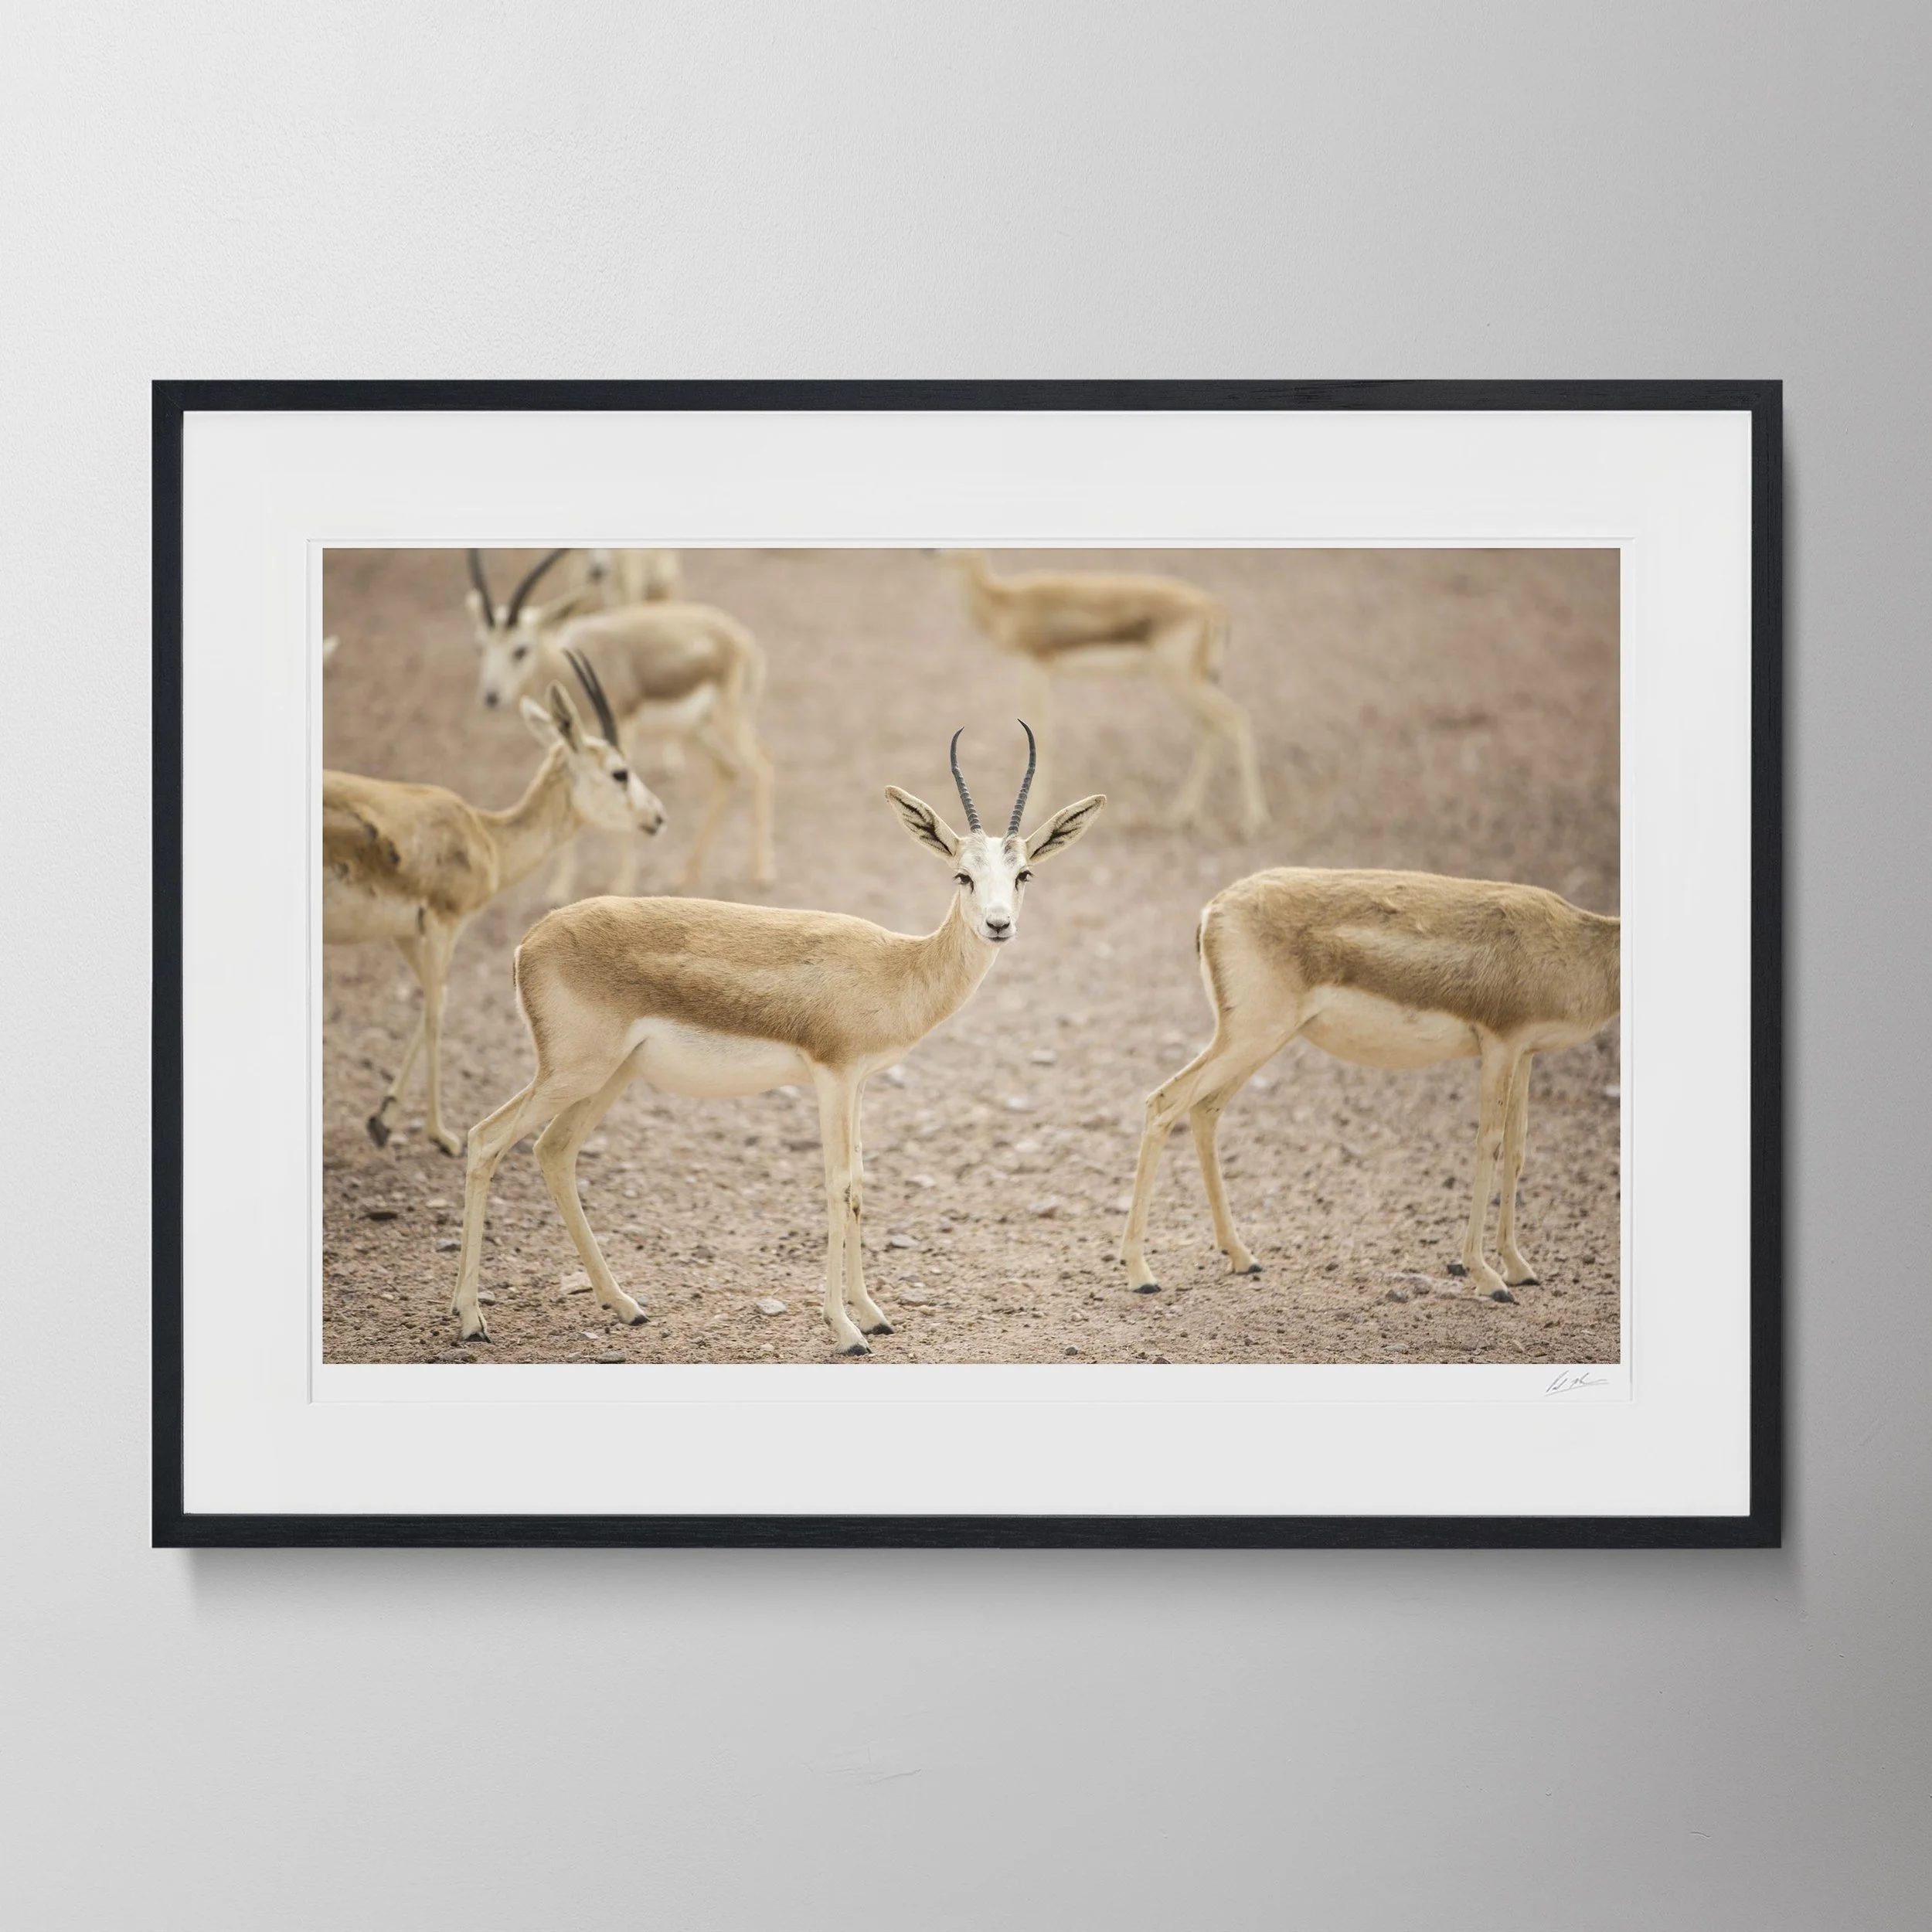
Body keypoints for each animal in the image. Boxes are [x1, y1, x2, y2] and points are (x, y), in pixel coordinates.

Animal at [324, 660, 666, 1156]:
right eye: (620, 772)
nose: (658, 817)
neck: (487, 838)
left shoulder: (408, 933)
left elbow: (435, 1001)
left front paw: (383, 1120)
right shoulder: (444, 924)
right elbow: (436, 1012)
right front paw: (440, 1135)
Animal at [449, 725, 1105, 1350]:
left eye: (1023, 873)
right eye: (962, 874)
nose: (998, 924)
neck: (894, 967)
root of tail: (531, 940)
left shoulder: (859, 1083)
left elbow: (860, 1183)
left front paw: (874, 1314)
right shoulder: (832, 1077)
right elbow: (837, 1185)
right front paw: (845, 1331)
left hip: (611, 1076)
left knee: (553, 1151)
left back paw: (624, 1304)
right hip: (571, 1072)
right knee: (485, 1140)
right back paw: (471, 1319)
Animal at [466, 549, 775, 895]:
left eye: (520, 650)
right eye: (481, 646)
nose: (491, 696)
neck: (562, 663)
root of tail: (743, 638)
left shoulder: (623, 726)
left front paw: (623, 884)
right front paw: (560, 888)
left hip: (729, 719)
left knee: (761, 768)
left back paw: (762, 873)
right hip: (696, 729)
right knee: (727, 771)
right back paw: (685, 875)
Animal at [940, 551, 1268, 835]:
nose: (931, 551)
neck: (1006, 601)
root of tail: (1212, 607)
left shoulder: (1036, 666)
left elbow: (1041, 732)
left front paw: (1034, 810)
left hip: (1181, 682)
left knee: (1236, 719)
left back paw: (1251, 820)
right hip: (1188, 684)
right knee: (1210, 727)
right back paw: (1183, 813)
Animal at [1119, 868, 1620, 1302]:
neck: (1577, 944)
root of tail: (1214, 909)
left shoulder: (1525, 1053)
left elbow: (1516, 1150)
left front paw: (1518, 1267)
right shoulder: (1500, 1046)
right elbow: (1488, 1146)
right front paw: (1487, 1277)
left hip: (1259, 1041)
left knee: (1204, 1109)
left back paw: (1241, 1256)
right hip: (1250, 1036)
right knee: (1163, 1103)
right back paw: (1141, 1273)